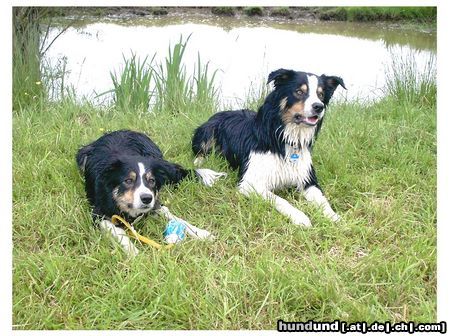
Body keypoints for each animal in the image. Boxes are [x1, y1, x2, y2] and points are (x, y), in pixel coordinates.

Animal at [77, 129, 227, 255]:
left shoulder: (155, 203)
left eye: (151, 180)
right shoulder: (98, 214)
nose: (146, 198)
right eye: (128, 180)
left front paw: (200, 233)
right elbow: (117, 231)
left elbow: (175, 217)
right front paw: (133, 252)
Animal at [192, 68, 344, 226]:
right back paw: (199, 161)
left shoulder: (308, 179)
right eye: (299, 92)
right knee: (200, 151)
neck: (283, 141)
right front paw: (300, 217)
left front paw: (334, 217)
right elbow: (280, 200)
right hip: (207, 131)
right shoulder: (249, 183)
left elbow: (323, 200)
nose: (319, 107)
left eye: (321, 95)